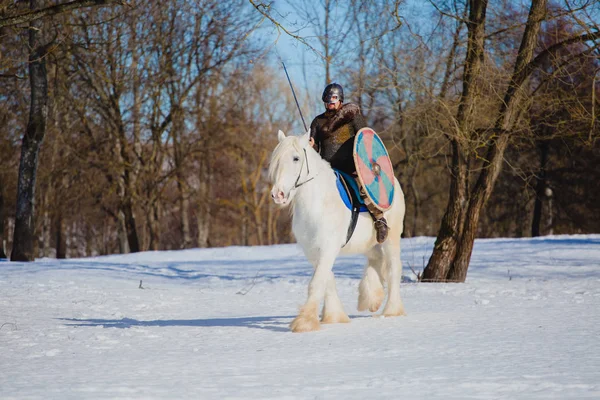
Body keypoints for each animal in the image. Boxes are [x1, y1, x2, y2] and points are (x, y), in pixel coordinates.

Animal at [270, 130, 408, 332]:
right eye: (276, 159)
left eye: (296, 158)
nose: (278, 194)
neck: (318, 202)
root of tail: (395, 185)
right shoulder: (313, 251)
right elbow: (327, 280)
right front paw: (334, 316)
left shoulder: (328, 248)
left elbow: (317, 282)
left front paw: (304, 322)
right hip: (370, 243)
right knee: (375, 260)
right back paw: (371, 298)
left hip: (391, 239)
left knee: (393, 269)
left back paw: (391, 310)